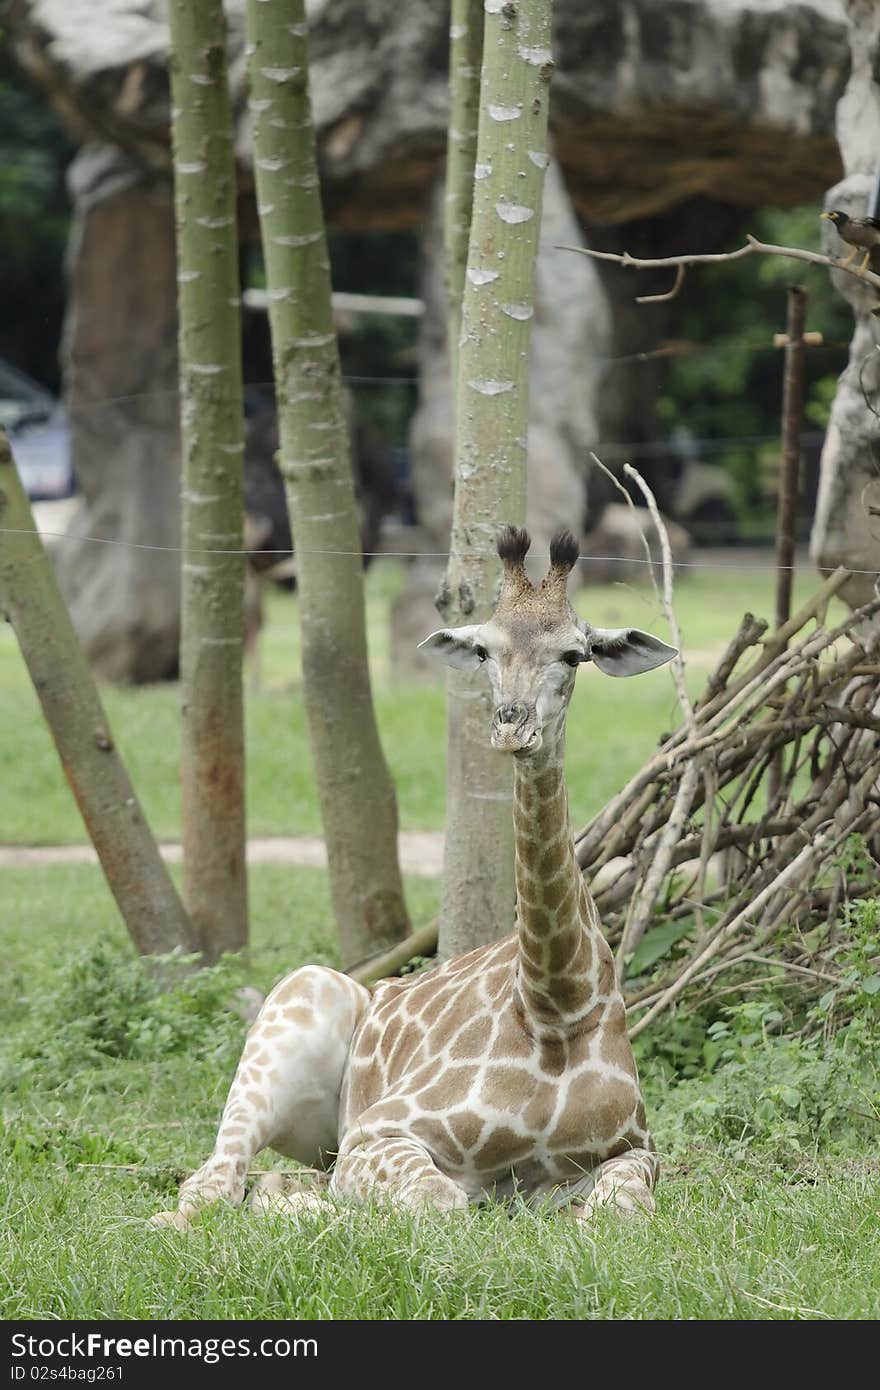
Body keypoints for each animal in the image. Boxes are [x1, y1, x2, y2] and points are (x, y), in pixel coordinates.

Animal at [152, 522, 672, 1228]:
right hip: (297, 1009)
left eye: (574, 655)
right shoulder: (378, 1132)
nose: (513, 728)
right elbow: (439, 1200)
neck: (557, 1007)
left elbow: (617, 1209)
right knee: (210, 1185)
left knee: (260, 1182)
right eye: (483, 649)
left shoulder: (634, 1148)